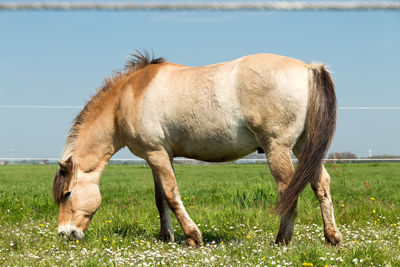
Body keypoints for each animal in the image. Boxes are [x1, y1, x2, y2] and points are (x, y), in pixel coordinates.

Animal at [51, 51, 342, 247]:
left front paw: (192, 236)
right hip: (305, 148)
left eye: (67, 194)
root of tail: (308, 68)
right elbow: (160, 199)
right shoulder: (159, 156)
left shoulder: (156, 154)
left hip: (277, 149)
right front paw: (166, 237)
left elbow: (171, 194)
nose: (65, 233)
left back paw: (282, 239)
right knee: (321, 185)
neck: (128, 96)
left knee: (288, 189)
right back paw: (332, 237)